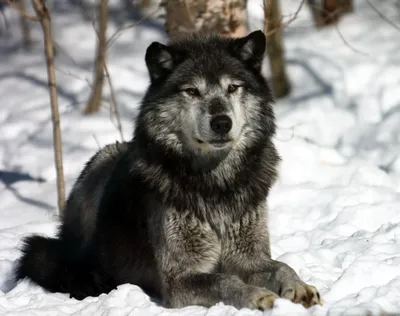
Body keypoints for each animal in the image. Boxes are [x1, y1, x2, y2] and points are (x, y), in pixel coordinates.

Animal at [14, 30, 324, 312]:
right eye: (192, 91)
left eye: (233, 88)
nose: (221, 122)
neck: (216, 184)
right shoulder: (179, 280)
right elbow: (225, 280)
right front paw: (257, 296)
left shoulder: (249, 259)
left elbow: (282, 266)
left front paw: (300, 287)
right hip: (103, 159)